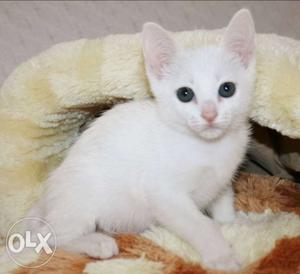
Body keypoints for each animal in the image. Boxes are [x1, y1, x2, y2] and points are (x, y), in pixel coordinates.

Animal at [28, 9, 255, 272]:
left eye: (227, 89)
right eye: (185, 94)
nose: (209, 115)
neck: (209, 148)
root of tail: (47, 201)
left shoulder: (222, 178)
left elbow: (223, 201)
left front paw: (233, 224)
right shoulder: (163, 192)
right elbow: (200, 224)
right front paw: (221, 255)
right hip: (80, 196)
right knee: (49, 237)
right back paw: (96, 243)